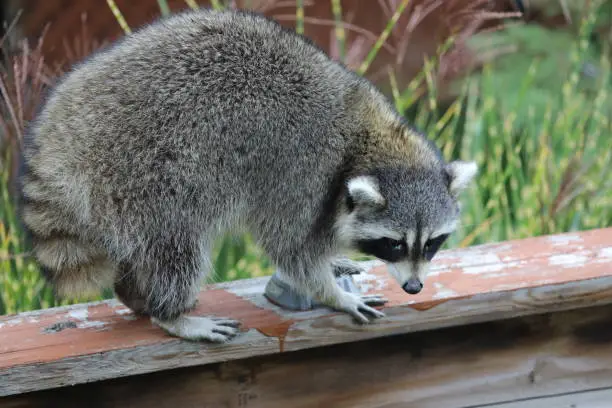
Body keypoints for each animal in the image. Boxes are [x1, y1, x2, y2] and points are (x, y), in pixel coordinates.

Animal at [16, 8, 478, 342]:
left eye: (433, 243)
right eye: (395, 244)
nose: (414, 288)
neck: (372, 145)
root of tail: (61, 132)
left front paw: (333, 261)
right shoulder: (302, 175)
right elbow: (290, 248)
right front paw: (329, 294)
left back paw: (138, 298)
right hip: (142, 172)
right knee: (177, 245)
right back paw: (170, 313)